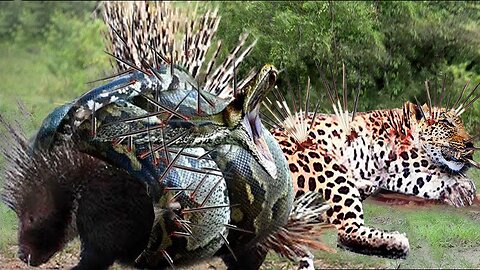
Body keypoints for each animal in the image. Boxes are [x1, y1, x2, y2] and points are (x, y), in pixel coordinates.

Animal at [266, 85, 476, 260]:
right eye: (447, 123)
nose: (470, 145)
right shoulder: (394, 153)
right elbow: (430, 164)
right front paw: (462, 181)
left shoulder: (390, 174)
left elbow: (420, 179)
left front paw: (459, 189)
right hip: (327, 169)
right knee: (345, 232)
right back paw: (396, 242)